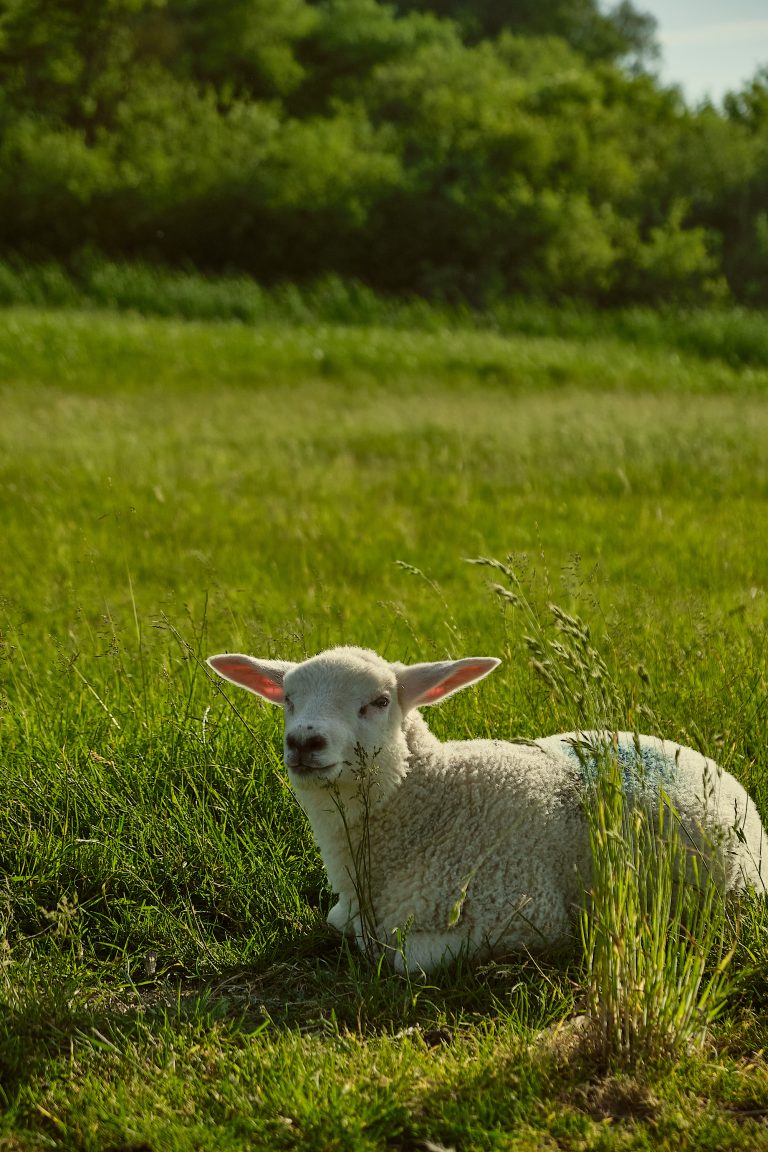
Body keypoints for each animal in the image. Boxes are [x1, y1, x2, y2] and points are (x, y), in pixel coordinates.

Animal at [207, 649, 764, 972]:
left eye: (380, 701)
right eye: (288, 700)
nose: (305, 742)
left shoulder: (523, 913)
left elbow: (400, 957)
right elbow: (340, 922)